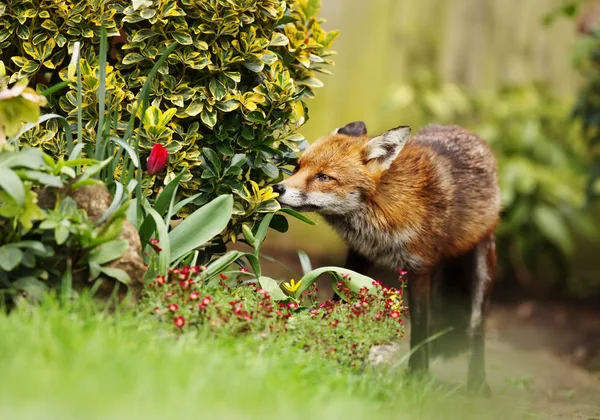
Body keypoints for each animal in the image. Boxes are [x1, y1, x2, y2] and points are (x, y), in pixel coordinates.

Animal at [274, 120, 500, 394]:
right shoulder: (359, 255)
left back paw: (477, 381)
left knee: (476, 327)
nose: (276, 188)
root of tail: (462, 129)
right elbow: (339, 303)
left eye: (324, 177)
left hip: (482, 267)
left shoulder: (420, 267)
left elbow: (420, 329)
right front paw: (332, 347)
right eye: (298, 166)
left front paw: (417, 376)